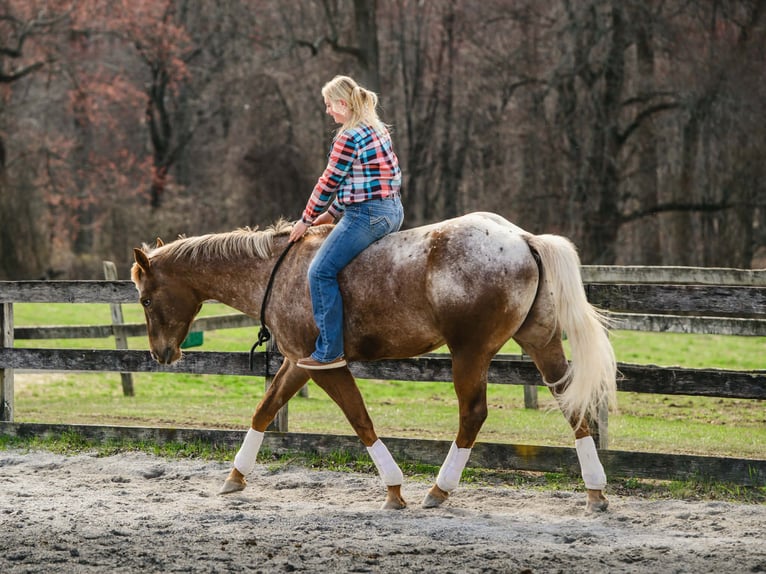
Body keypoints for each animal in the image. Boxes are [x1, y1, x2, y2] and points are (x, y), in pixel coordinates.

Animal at [131, 212, 617, 512]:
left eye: (146, 298)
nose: (161, 353)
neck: (277, 272)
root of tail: (522, 239)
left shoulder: (324, 366)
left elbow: (359, 419)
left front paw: (394, 488)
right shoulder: (298, 363)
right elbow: (265, 410)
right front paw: (235, 476)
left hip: (469, 353)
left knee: (473, 414)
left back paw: (439, 489)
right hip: (540, 341)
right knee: (570, 402)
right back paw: (595, 492)